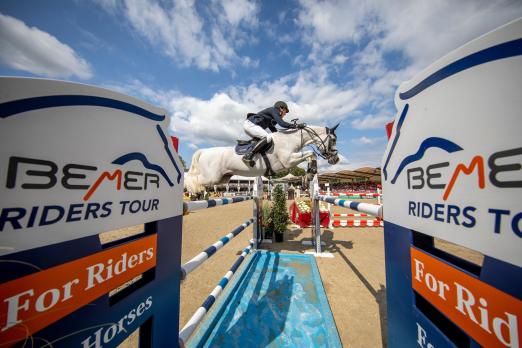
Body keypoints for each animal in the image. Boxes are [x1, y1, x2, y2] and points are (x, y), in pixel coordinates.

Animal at [185, 124, 340, 196]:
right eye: (333, 140)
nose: (336, 159)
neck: (290, 139)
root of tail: (203, 151)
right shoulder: (288, 161)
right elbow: (311, 153)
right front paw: (311, 172)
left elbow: (310, 155)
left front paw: (309, 174)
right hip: (211, 177)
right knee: (193, 179)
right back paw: (195, 191)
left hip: (223, 178)